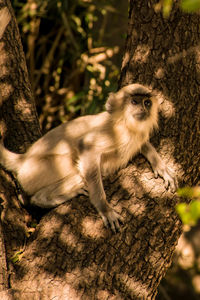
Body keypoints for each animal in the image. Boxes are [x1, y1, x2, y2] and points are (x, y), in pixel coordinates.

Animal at [0, 84, 178, 232]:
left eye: (147, 103)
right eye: (134, 102)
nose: (144, 109)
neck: (124, 124)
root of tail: (23, 159)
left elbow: (142, 144)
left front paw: (161, 167)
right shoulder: (112, 133)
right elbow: (86, 147)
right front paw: (104, 208)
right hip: (34, 172)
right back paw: (43, 198)